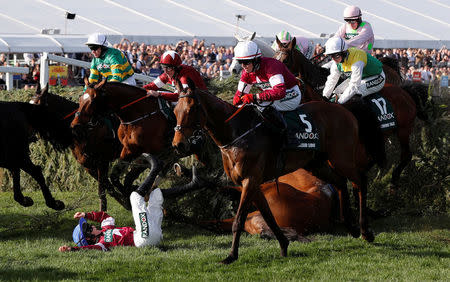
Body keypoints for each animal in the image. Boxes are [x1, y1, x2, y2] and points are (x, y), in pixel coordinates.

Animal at [171, 78, 384, 264]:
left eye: (191, 109)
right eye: (174, 110)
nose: (178, 145)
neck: (237, 134)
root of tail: (344, 110)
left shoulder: (250, 180)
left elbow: (238, 220)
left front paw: (231, 256)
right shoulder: (253, 184)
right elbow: (268, 216)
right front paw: (283, 245)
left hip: (342, 157)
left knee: (359, 181)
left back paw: (365, 231)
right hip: (316, 163)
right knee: (340, 182)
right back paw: (351, 226)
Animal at [274, 37, 428, 187]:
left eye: (285, 60)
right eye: (275, 57)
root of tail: (405, 91)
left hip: (403, 128)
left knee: (405, 155)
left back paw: (393, 180)